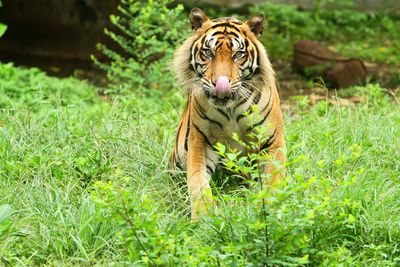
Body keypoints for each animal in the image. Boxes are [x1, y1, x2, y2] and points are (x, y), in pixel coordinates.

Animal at [170, 7, 286, 222]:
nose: (220, 83)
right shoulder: (200, 143)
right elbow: (198, 182)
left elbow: (273, 182)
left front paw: (271, 212)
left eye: (238, 54)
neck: (230, 109)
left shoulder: (272, 142)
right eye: (208, 52)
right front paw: (203, 218)